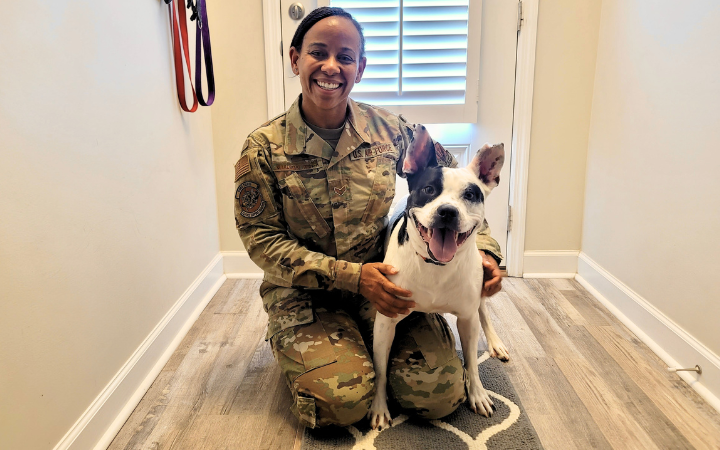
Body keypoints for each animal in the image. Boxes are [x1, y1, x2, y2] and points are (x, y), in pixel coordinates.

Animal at [368, 126, 510, 428]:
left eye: (471, 195)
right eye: (429, 190)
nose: (447, 212)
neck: (436, 266)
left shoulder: (467, 318)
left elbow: (471, 361)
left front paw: (477, 393)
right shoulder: (385, 321)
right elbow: (381, 370)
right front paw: (379, 407)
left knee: (484, 312)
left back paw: (495, 343)